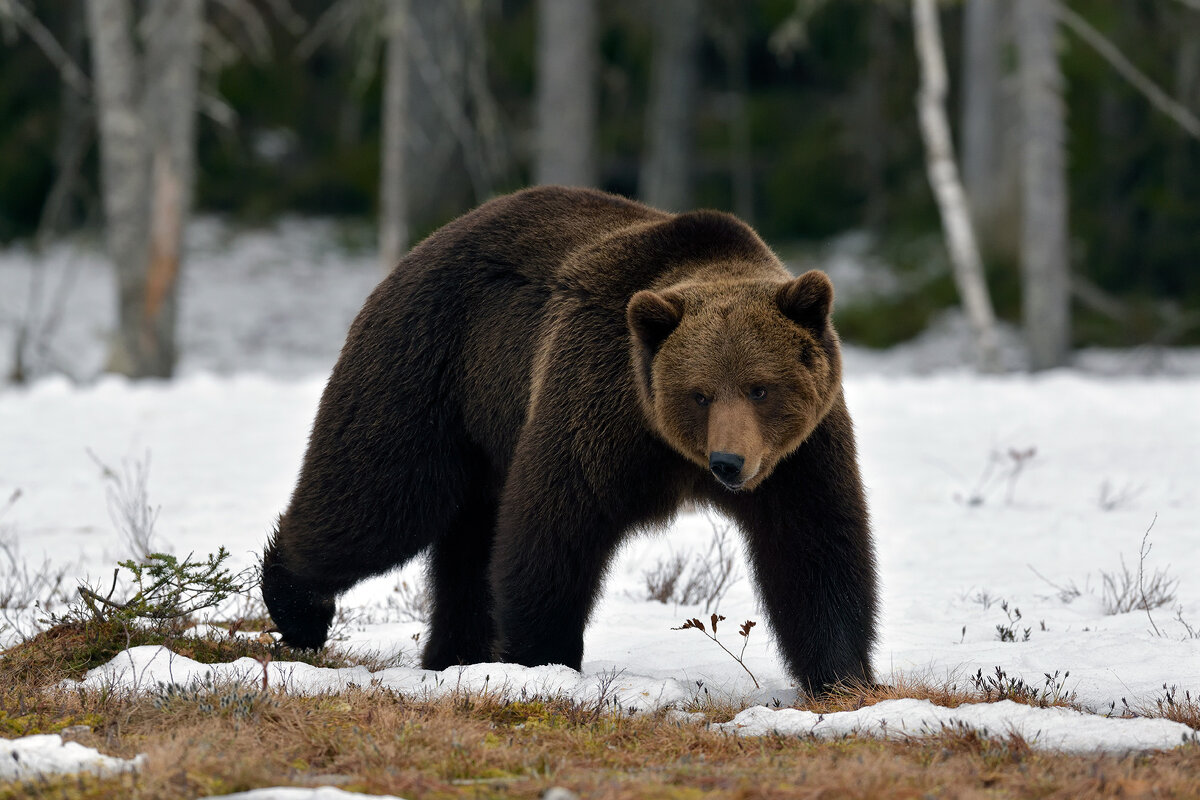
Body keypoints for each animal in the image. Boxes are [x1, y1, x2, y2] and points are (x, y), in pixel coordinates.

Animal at [262, 185, 878, 695]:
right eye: (699, 393)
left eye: (760, 387)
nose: (729, 463)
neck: (670, 449)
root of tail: (428, 240)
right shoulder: (597, 402)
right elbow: (554, 531)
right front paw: (543, 660)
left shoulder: (801, 454)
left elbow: (815, 550)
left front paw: (844, 679)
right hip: (430, 366)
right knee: (380, 501)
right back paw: (298, 606)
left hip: (485, 427)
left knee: (465, 540)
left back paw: (452, 654)